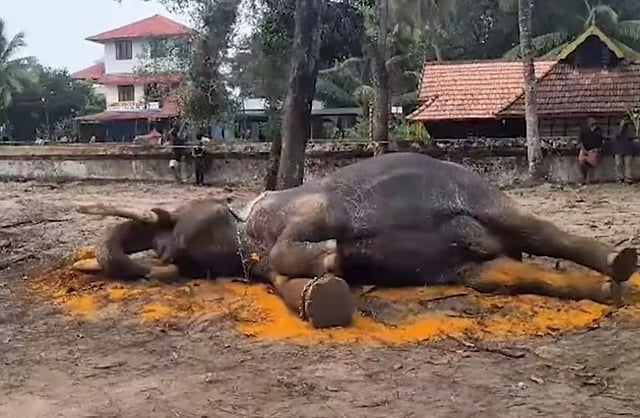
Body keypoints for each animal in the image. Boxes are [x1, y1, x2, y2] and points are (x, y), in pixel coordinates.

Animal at [73, 152, 638, 328]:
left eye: (172, 222)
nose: (162, 252)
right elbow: (288, 284)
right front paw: (328, 288)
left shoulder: (308, 204)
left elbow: (315, 230)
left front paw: (332, 256)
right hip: (475, 268)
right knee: (504, 274)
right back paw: (606, 291)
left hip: (481, 191)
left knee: (539, 230)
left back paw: (620, 262)